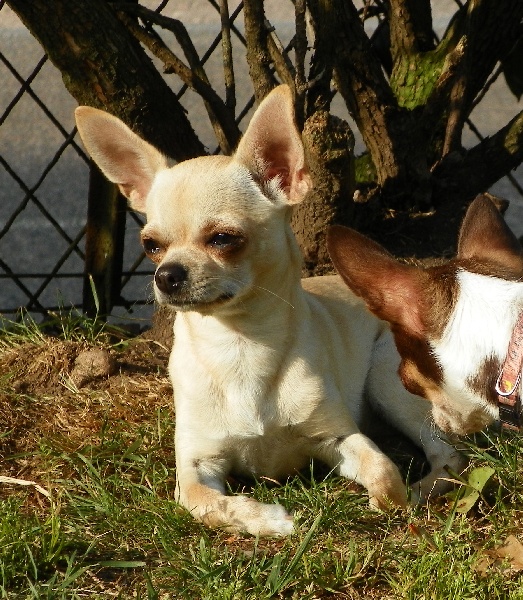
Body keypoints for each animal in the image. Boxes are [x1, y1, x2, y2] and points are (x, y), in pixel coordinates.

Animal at [74, 85, 462, 536]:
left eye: (223, 238)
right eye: (151, 245)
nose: (166, 274)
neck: (240, 345)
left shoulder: (338, 437)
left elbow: (383, 470)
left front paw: (393, 500)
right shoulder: (195, 466)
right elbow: (208, 503)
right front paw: (269, 519)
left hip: (390, 382)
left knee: (450, 457)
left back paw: (422, 489)